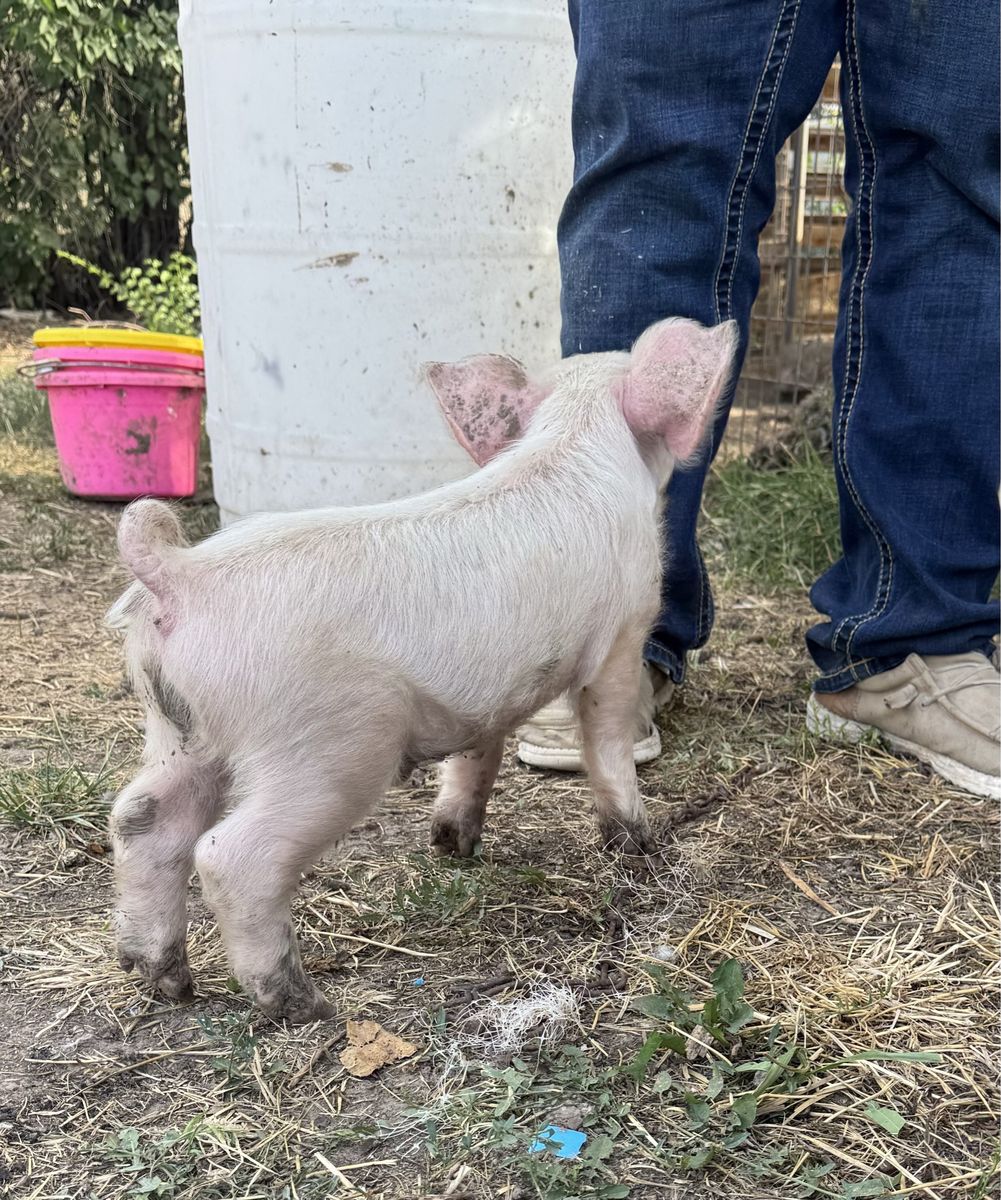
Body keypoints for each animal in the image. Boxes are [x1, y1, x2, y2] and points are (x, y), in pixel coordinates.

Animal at [106, 316, 738, 1023]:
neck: (577, 428)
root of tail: (179, 575)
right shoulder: (623, 636)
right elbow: (607, 741)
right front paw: (638, 844)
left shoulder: (490, 690)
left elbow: (477, 755)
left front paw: (452, 843)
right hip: (328, 750)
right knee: (229, 855)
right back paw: (305, 1005)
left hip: (179, 730)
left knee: (141, 819)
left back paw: (165, 980)